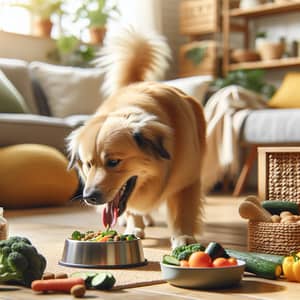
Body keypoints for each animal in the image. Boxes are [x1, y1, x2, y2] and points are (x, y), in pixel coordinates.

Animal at [67, 29, 206, 247]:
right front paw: (134, 227)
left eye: (114, 162)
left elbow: (182, 212)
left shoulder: (187, 181)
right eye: (88, 164)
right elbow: (132, 209)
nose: (89, 197)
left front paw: (183, 237)